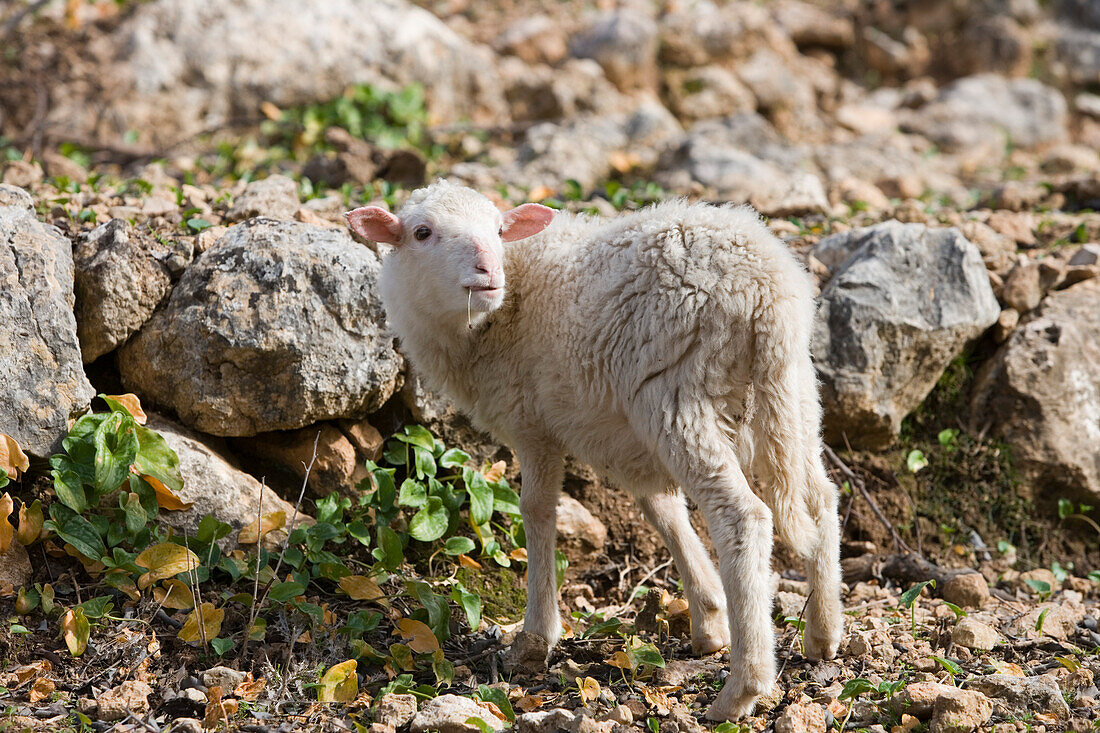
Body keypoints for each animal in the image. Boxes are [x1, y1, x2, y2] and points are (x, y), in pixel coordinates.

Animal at [347, 179, 844, 717]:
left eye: (499, 230)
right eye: (422, 233)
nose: (488, 271)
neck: (502, 310)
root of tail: (765, 290)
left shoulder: (532, 424)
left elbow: (537, 510)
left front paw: (535, 638)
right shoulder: (628, 444)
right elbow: (662, 511)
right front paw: (709, 618)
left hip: (677, 395)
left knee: (744, 517)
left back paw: (741, 690)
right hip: (790, 394)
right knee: (819, 498)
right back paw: (823, 633)